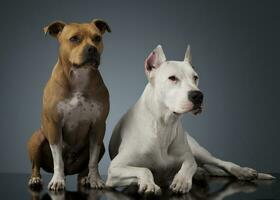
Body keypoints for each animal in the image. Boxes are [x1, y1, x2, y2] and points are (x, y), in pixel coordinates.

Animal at [27, 19, 110, 191]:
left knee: (84, 167)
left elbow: (93, 160)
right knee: (35, 165)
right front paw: (58, 180)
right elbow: (58, 159)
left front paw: (95, 179)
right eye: (74, 39)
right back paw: (36, 179)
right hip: (36, 138)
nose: (92, 49)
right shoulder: (54, 125)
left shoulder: (99, 126)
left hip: (102, 146)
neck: (79, 76)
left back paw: (85, 178)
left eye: (97, 38)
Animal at [106, 45, 274, 194]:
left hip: (199, 151)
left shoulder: (188, 157)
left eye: (195, 77)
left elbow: (188, 164)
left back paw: (242, 171)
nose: (198, 95)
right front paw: (149, 184)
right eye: (172, 78)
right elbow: (145, 169)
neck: (164, 125)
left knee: (220, 163)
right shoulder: (115, 169)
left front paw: (181, 181)